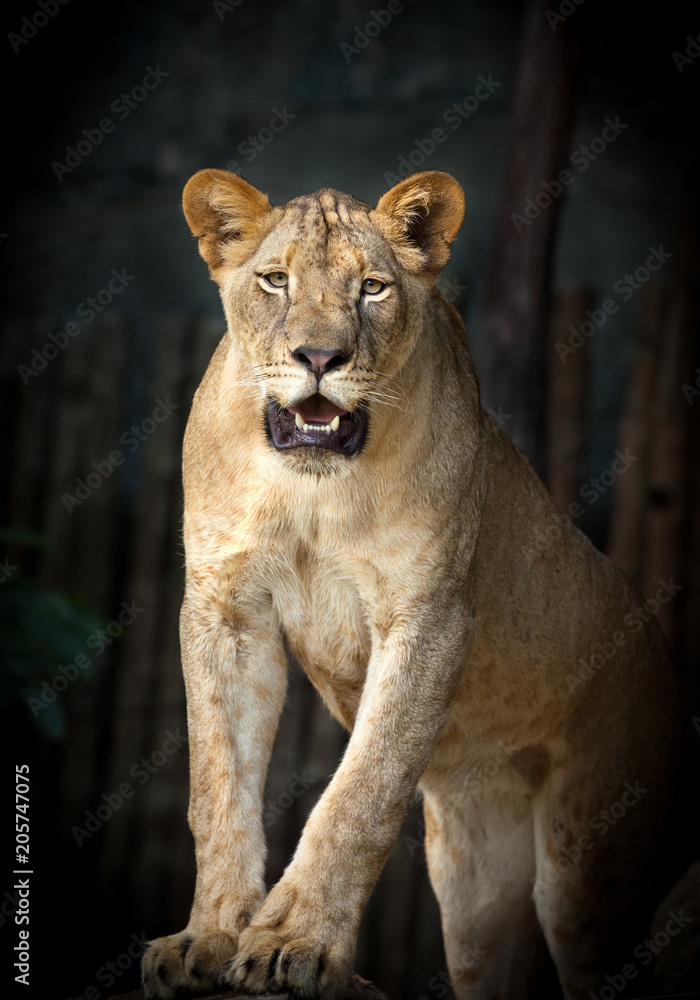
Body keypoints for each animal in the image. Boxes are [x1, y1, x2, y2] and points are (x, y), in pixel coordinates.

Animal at [141, 169, 681, 999]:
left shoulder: (428, 618)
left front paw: (293, 942)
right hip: (475, 886)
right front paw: (209, 938)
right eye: (275, 280)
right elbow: (218, 786)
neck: (312, 486)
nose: (319, 356)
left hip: (588, 869)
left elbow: (360, 793)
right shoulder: (225, 610)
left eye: (372, 288)